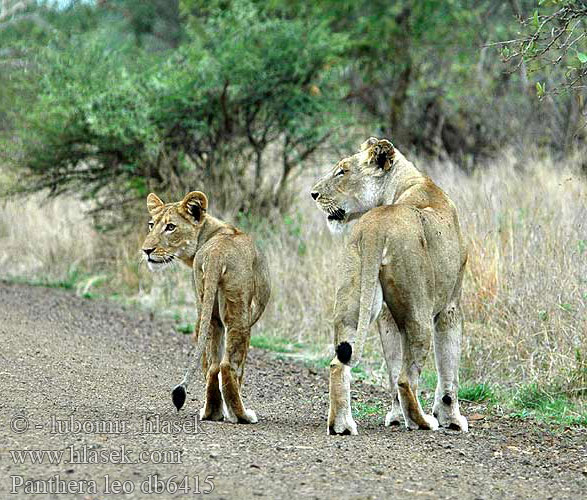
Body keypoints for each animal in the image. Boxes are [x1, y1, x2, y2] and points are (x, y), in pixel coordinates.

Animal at [142, 190, 272, 422]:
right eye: (152, 225)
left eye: (170, 227)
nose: (146, 250)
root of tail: (216, 254)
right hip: (239, 311)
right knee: (228, 365)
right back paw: (241, 416)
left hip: (208, 309)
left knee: (212, 366)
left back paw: (211, 413)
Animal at [312, 137, 468, 434]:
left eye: (342, 171)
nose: (313, 194)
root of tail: (377, 224)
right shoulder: (450, 307)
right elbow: (449, 369)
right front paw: (452, 419)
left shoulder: (386, 315)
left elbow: (393, 368)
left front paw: (396, 418)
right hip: (419, 312)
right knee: (407, 379)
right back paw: (423, 422)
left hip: (359, 298)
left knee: (339, 362)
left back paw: (342, 425)